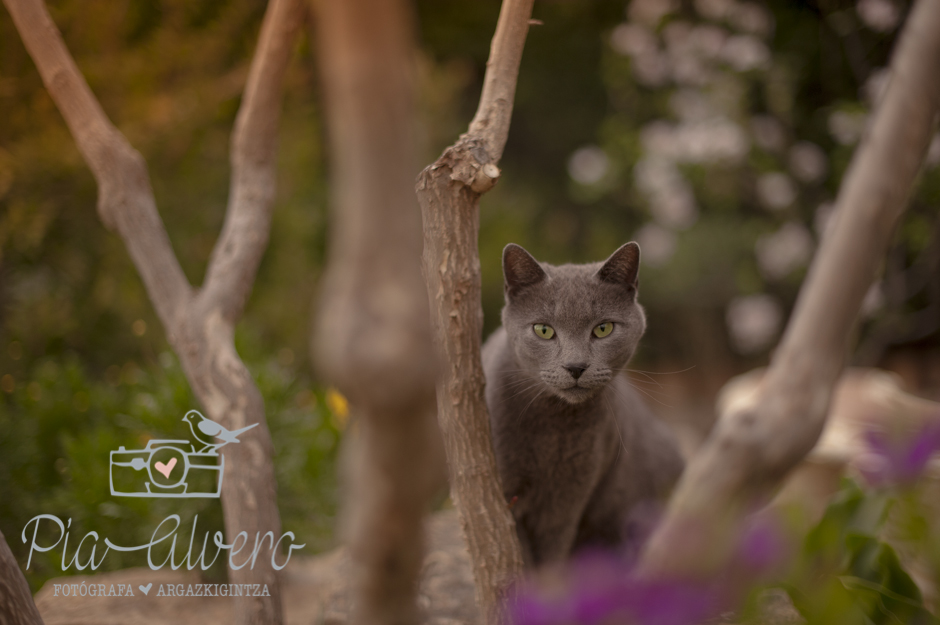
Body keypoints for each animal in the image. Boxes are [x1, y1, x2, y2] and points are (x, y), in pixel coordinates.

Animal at [484, 241, 684, 564]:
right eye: (543, 330)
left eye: (603, 329)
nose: (575, 366)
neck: (552, 426)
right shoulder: (504, 492)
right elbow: (521, 554)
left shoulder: (571, 496)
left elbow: (554, 553)